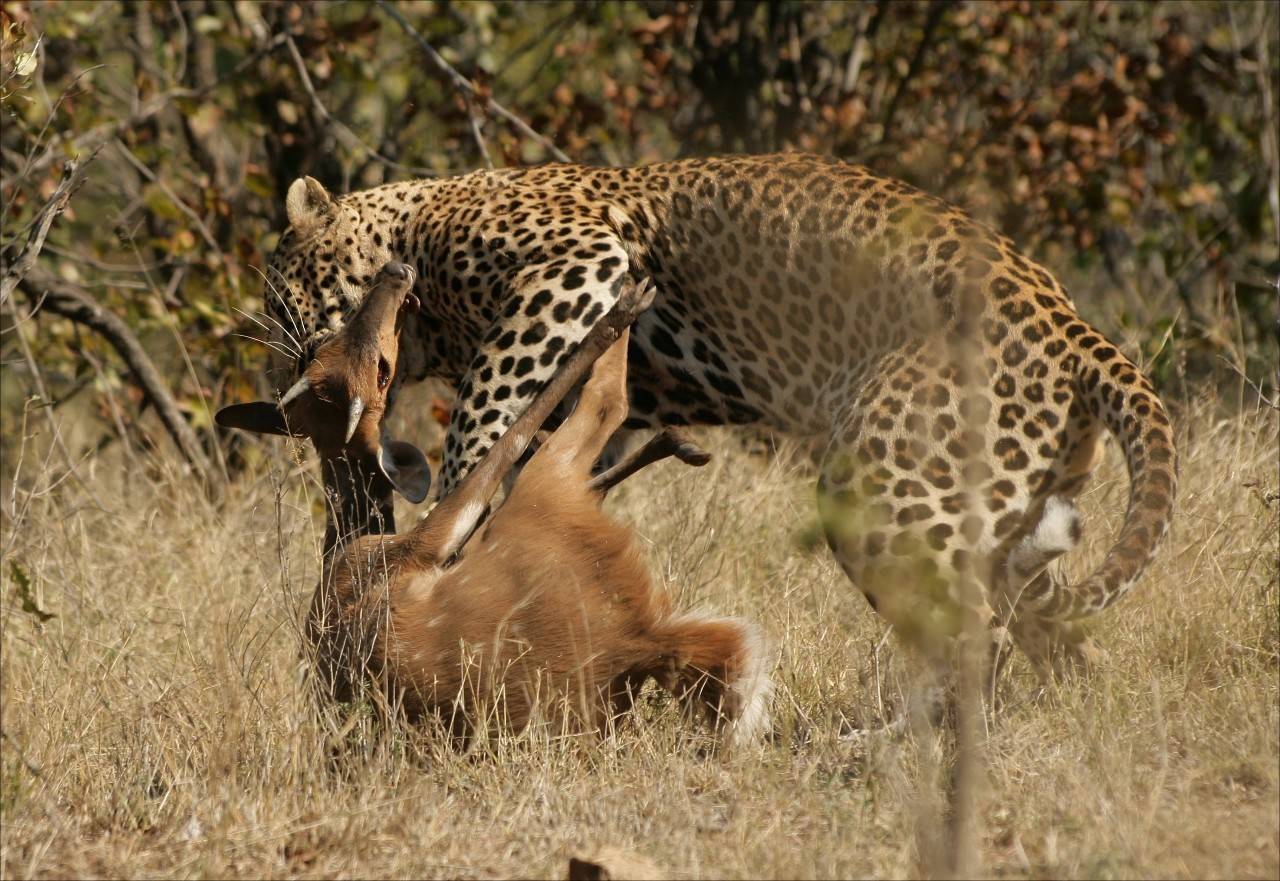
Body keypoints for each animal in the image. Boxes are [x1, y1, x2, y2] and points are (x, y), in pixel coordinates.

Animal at [217, 265, 768, 747]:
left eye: (320, 342)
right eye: (380, 373)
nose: (395, 273)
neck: (353, 536)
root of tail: (636, 643)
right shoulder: (425, 541)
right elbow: (512, 443)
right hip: (545, 495)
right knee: (603, 406)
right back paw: (629, 303)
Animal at [252, 153, 1177, 681]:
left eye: (281, 297)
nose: (285, 377)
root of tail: (1078, 329)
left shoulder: (574, 263)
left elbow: (489, 409)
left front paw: (454, 503)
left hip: (884, 484)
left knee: (975, 634)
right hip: (1003, 506)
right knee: (1051, 632)